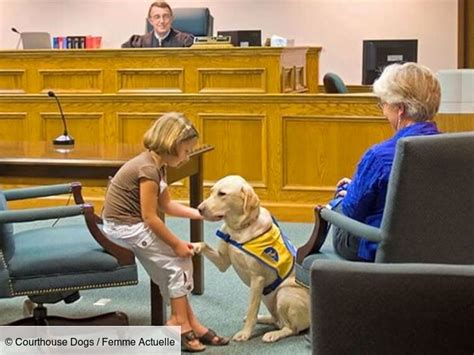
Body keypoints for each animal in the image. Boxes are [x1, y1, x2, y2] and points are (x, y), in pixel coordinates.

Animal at [193, 177, 312, 344]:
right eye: (211, 192)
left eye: (222, 194)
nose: (199, 209)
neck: (239, 230)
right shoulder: (223, 262)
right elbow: (204, 244)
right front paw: (194, 246)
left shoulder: (257, 279)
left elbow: (251, 310)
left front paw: (245, 334)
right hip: (268, 299)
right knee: (277, 320)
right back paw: (264, 318)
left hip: (284, 293)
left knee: (290, 328)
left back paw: (273, 334)